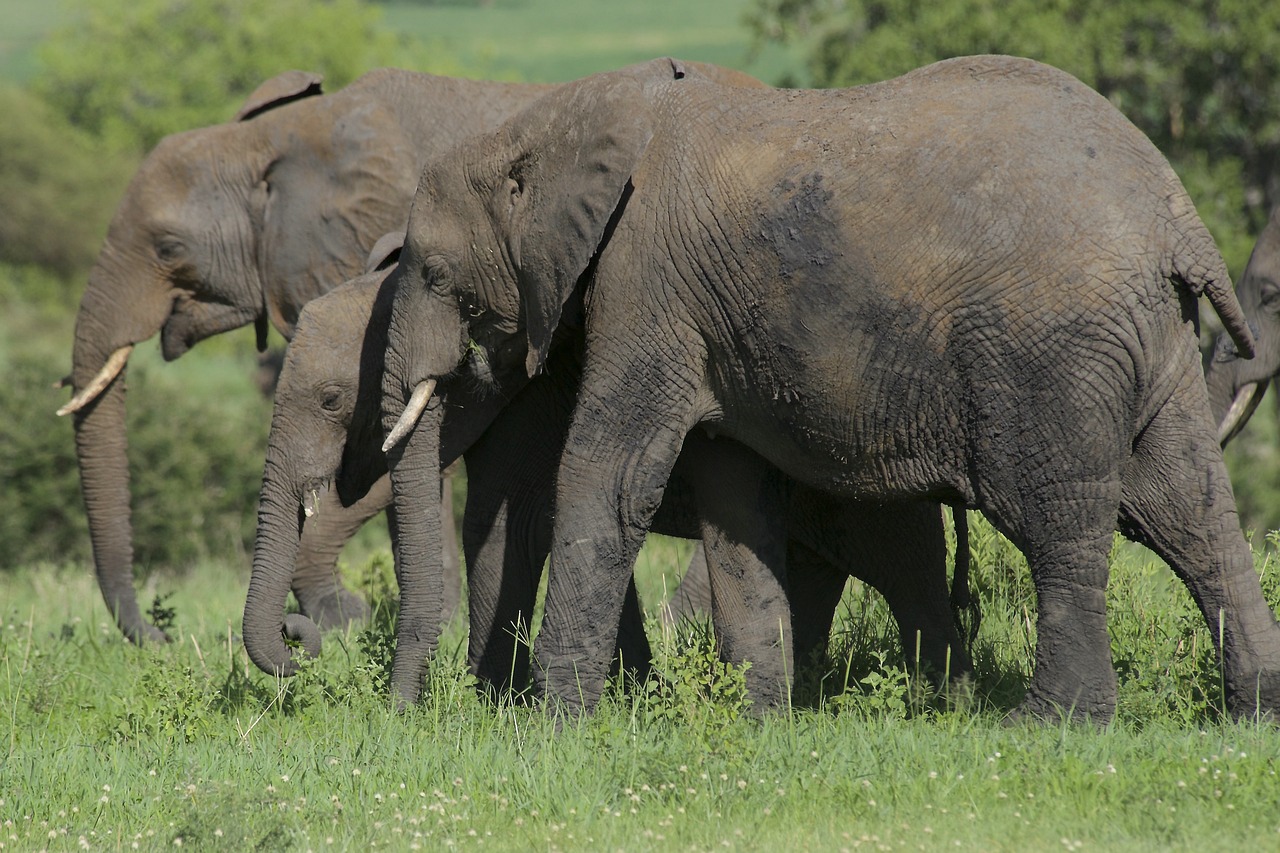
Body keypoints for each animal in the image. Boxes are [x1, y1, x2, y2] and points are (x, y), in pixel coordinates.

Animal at [247, 233, 967, 701]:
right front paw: (631, 697)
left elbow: (512, 523)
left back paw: (938, 702)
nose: (302, 641)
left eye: (332, 400)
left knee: (907, 571)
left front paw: (492, 703)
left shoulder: (539, 401)